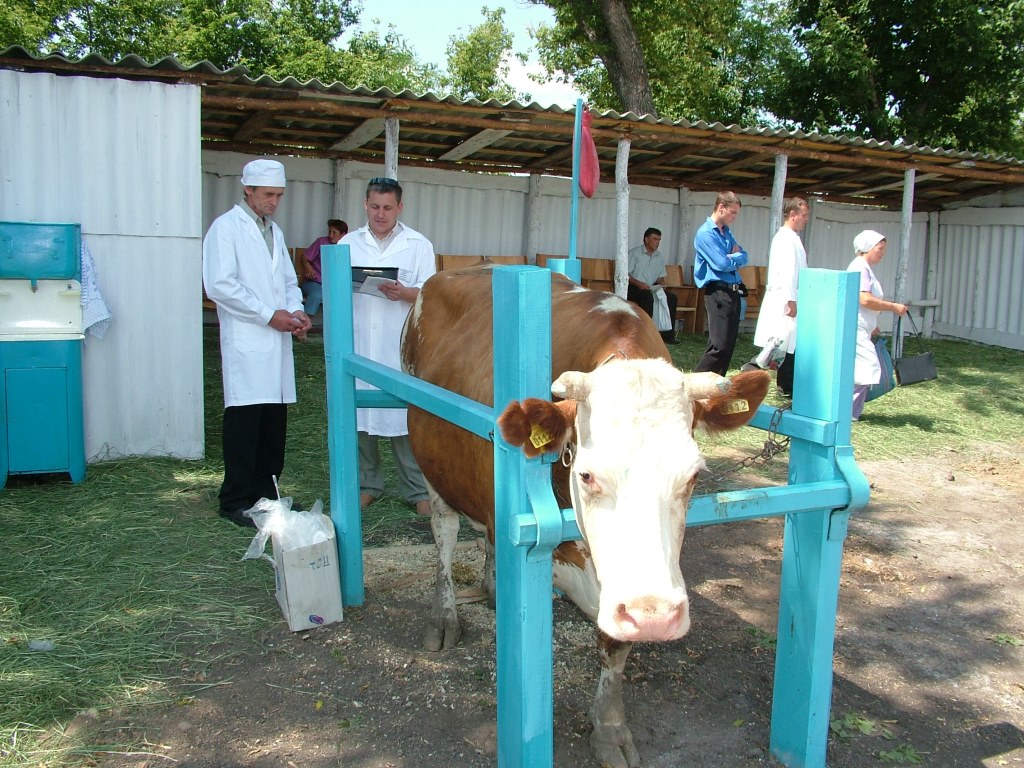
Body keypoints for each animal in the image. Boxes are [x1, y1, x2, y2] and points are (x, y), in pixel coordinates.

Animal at [401, 266, 770, 768]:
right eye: (587, 474)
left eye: (695, 474)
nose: (657, 617)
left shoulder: (624, 584)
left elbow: (615, 645)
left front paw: (609, 730)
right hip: (428, 455)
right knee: (444, 532)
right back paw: (445, 616)